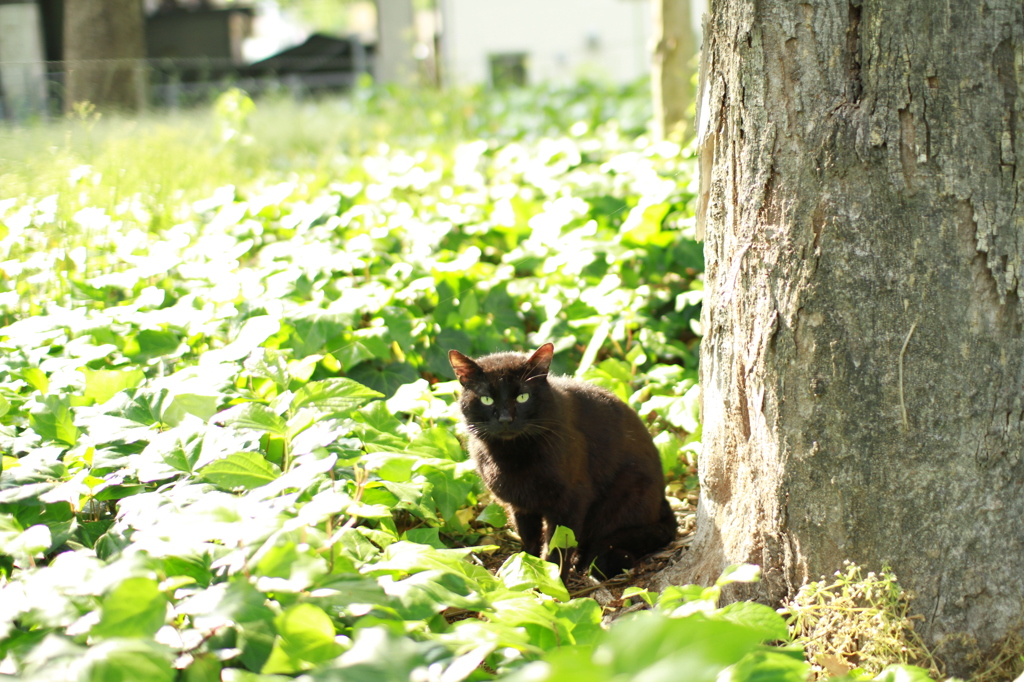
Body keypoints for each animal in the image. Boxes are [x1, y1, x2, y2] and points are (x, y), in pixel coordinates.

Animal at [446, 342, 671, 577]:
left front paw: (554, 579)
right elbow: (529, 538)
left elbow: (559, 546)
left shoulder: (571, 501)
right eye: (487, 399)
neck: (511, 456)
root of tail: (663, 499)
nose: (506, 419)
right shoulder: (521, 505)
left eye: (523, 397)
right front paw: (528, 567)